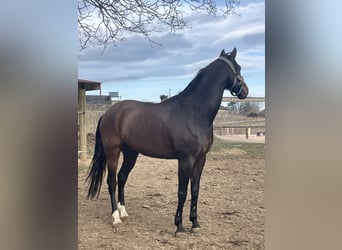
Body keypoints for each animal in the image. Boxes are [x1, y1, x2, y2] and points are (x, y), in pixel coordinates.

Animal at [86, 47, 248, 235]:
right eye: (239, 68)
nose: (245, 91)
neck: (193, 112)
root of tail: (108, 113)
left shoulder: (201, 159)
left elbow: (195, 190)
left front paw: (195, 224)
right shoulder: (185, 160)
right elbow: (182, 191)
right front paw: (179, 226)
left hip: (131, 153)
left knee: (122, 177)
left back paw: (123, 212)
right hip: (113, 151)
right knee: (112, 181)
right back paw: (115, 217)